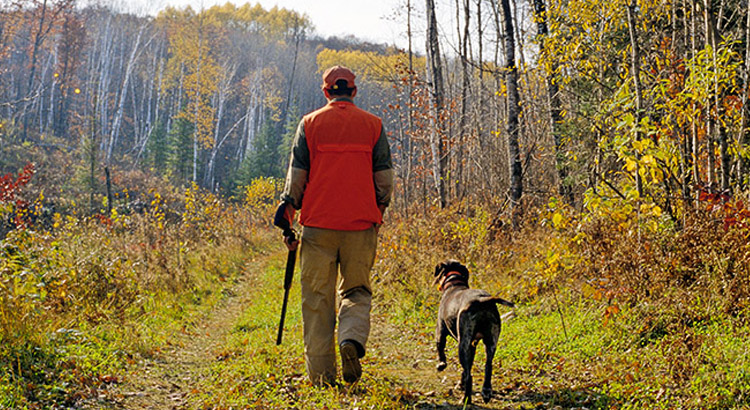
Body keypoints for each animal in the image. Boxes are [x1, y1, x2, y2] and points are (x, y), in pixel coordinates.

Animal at [434, 260, 516, 404]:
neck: (454, 283)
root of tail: (482, 300)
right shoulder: (472, 346)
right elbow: (466, 368)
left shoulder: (441, 332)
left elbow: (441, 350)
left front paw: (441, 365)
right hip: (490, 343)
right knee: (487, 367)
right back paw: (486, 391)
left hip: (462, 345)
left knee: (470, 377)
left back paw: (466, 399)